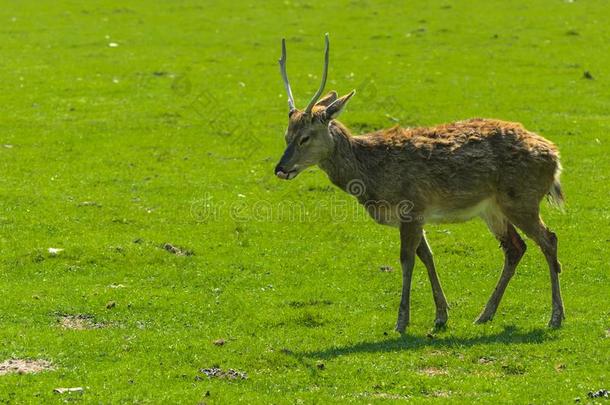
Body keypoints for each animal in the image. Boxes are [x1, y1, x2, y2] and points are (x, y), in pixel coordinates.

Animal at [274, 34, 564, 332]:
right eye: (286, 135)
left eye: (305, 137)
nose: (281, 168)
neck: (371, 177)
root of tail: (555, 158)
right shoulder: (417, 214)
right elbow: (427, 256)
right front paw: (441, 314)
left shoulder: (411, 206)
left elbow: (407, 259)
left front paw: (401, 322)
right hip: (492, 209)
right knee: (515, 248)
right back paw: (485, 314)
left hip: (521, 199)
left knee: (549, 239)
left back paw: (555, 317)